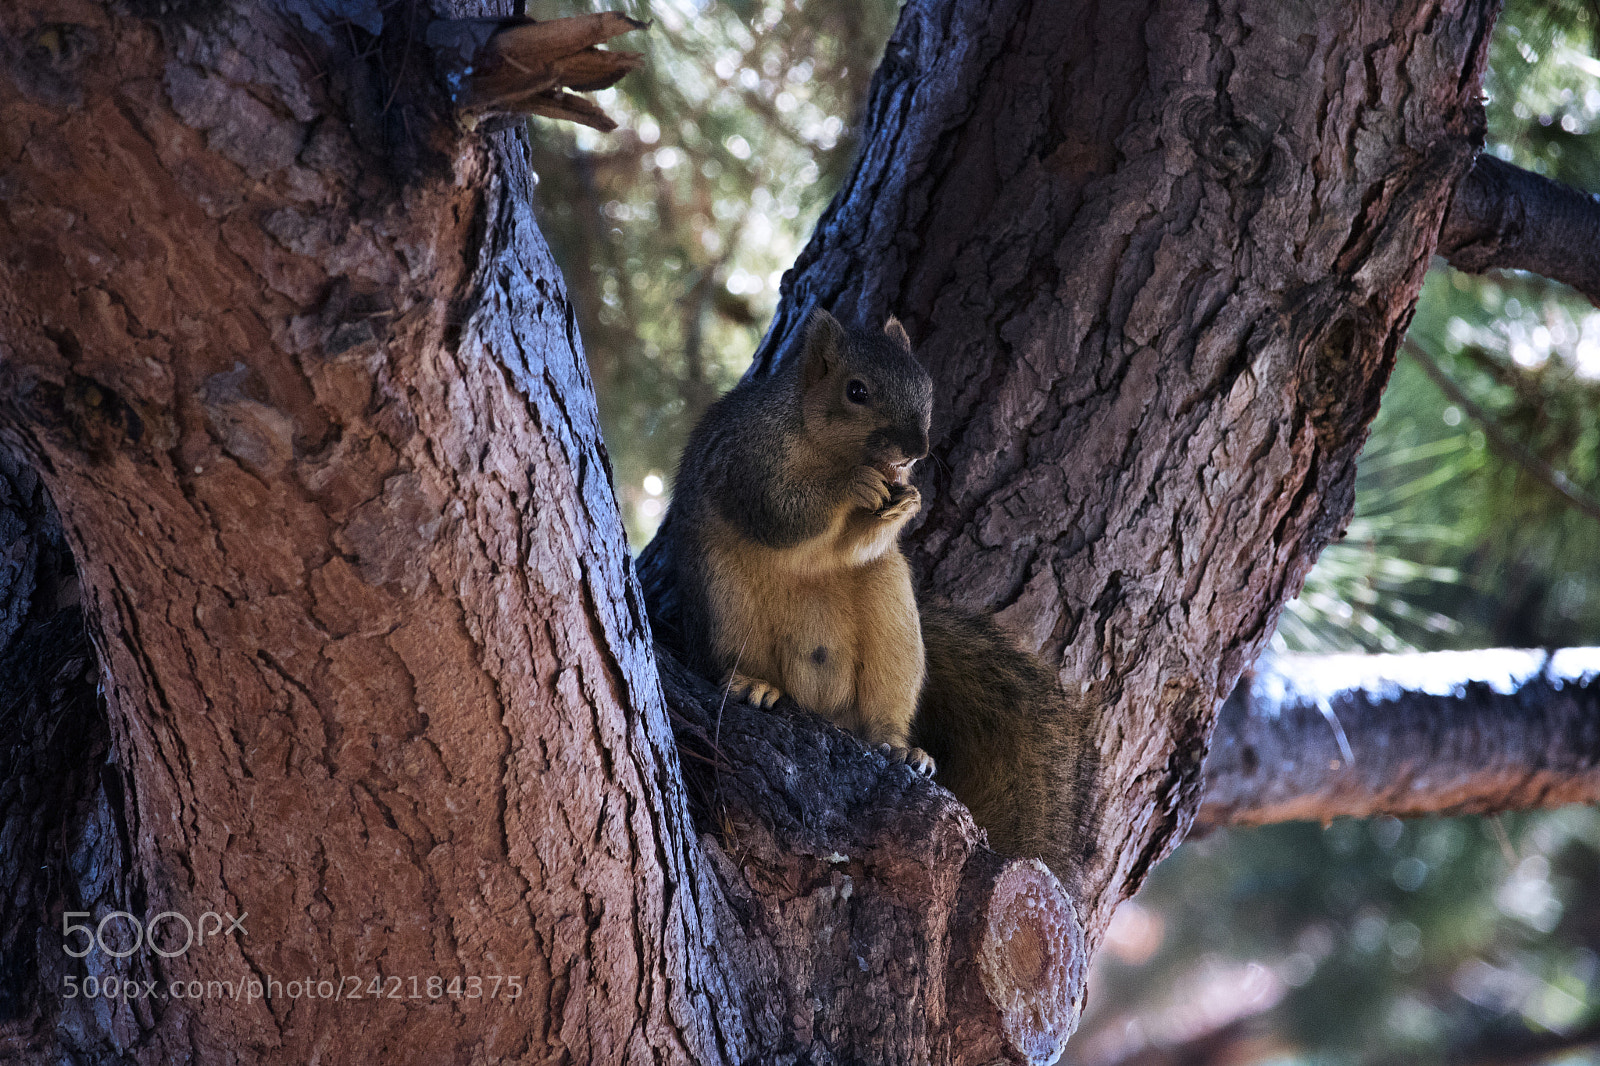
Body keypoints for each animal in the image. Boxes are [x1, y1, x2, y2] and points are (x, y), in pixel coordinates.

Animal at [659, 308, 935, 773]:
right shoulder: (749, 460)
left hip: (892, 613)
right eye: (856, 391)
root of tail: (820, 700)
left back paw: (900, 746)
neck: (829, 449)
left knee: (884, 703)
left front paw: (909, 502)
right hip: (724, 598)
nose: (916, 451)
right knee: (733, 658)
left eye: (928, 388)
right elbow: (781, 514)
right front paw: (852, 485)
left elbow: (853, 547)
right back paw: (754, 684)